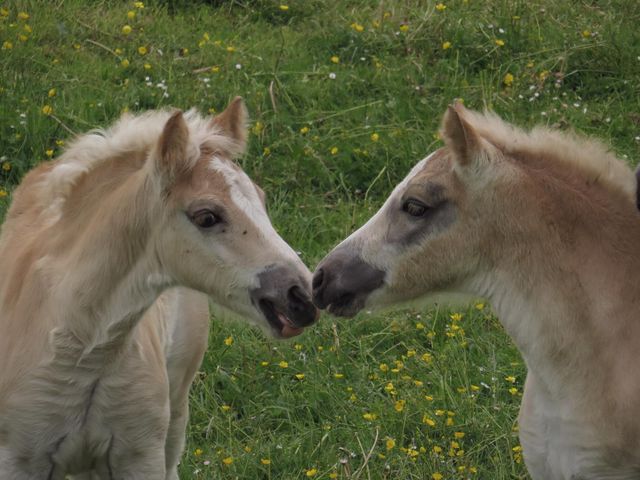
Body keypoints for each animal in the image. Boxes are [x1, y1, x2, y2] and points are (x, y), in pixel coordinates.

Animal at [0, 98, 318, 480]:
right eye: (207, 216)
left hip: (176, 406)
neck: (85, 353)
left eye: (262, 199)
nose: (301, 296)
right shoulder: (19, 460)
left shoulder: (140, 456)